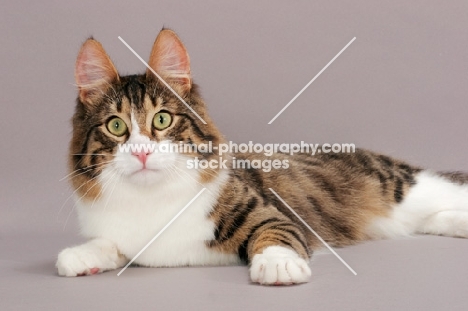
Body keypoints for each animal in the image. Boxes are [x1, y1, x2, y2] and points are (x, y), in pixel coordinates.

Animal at [56, 28, 468, 286]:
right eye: (116, 127)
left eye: (162, 119)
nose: (142, 151)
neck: (151, 199)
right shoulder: (123, 236)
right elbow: (109, 244)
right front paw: (79, 256)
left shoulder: (271, 214)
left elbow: (274, 236)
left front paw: (278, 265)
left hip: (409, 188)